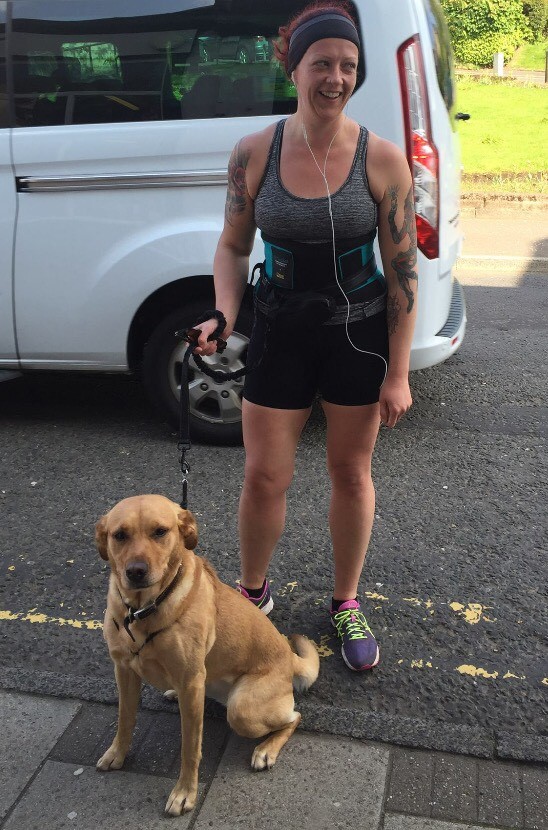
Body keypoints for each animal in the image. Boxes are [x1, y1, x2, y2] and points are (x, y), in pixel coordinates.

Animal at [95, 494, 319, 815]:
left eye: (160, 532)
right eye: (120, 535)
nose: (136, 571)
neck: (141, 610)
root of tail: (290, 657)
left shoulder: (190, 681)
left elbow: (190, 748)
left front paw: (185, 793)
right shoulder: (123, 670)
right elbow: (125, 718)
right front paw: (117, 753)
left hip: (242, 709)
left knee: (294, 717)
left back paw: (266, 749)